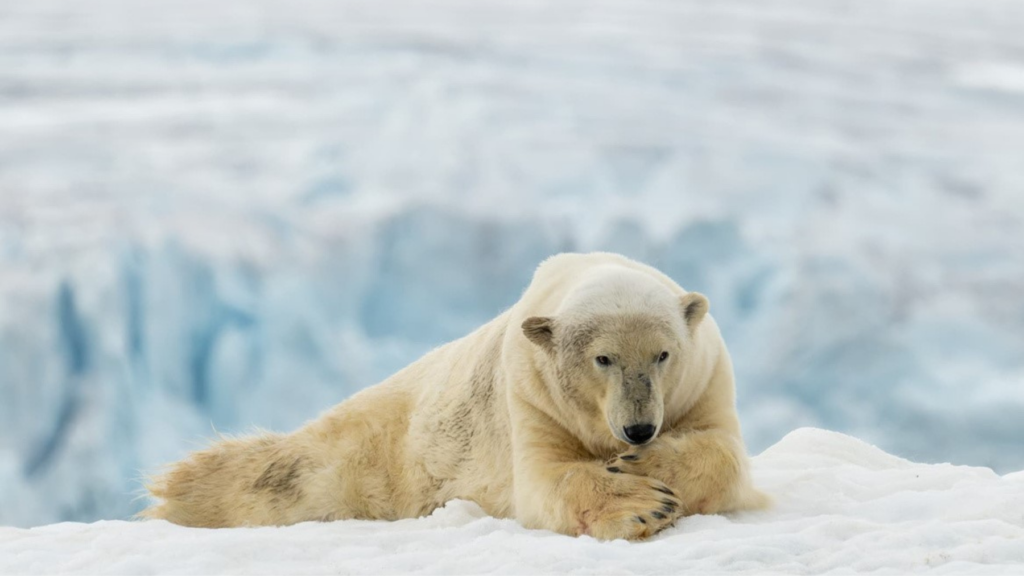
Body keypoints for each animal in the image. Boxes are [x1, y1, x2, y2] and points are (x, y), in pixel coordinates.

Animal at [144, 251, 770, 537]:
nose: (638, 429)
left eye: (662, 355)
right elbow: (545, 483)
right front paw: (642, 503)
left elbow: (725, 453)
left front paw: (651, 466)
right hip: (372, 454)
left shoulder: (704, 379)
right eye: (603, 359)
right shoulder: (531, 397)